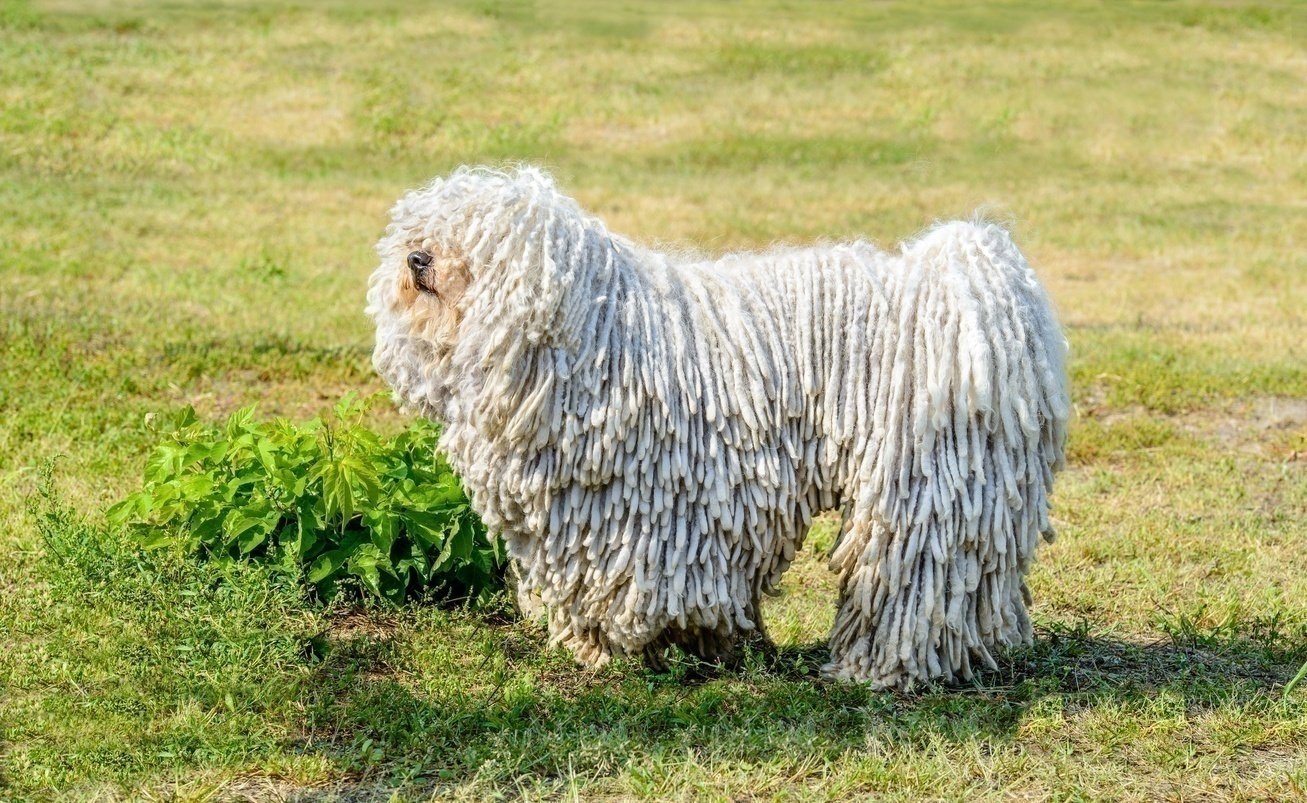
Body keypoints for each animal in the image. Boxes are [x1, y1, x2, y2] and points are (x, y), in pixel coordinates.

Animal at [365, 168, 1061, 690]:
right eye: (422, 229)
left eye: (475, 241)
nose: (417, 257)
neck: (588, 338)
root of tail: (968, 291)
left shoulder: (648, 510)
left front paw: (632, 650)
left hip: (920, 483)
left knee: (910, 578)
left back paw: (880, 668)